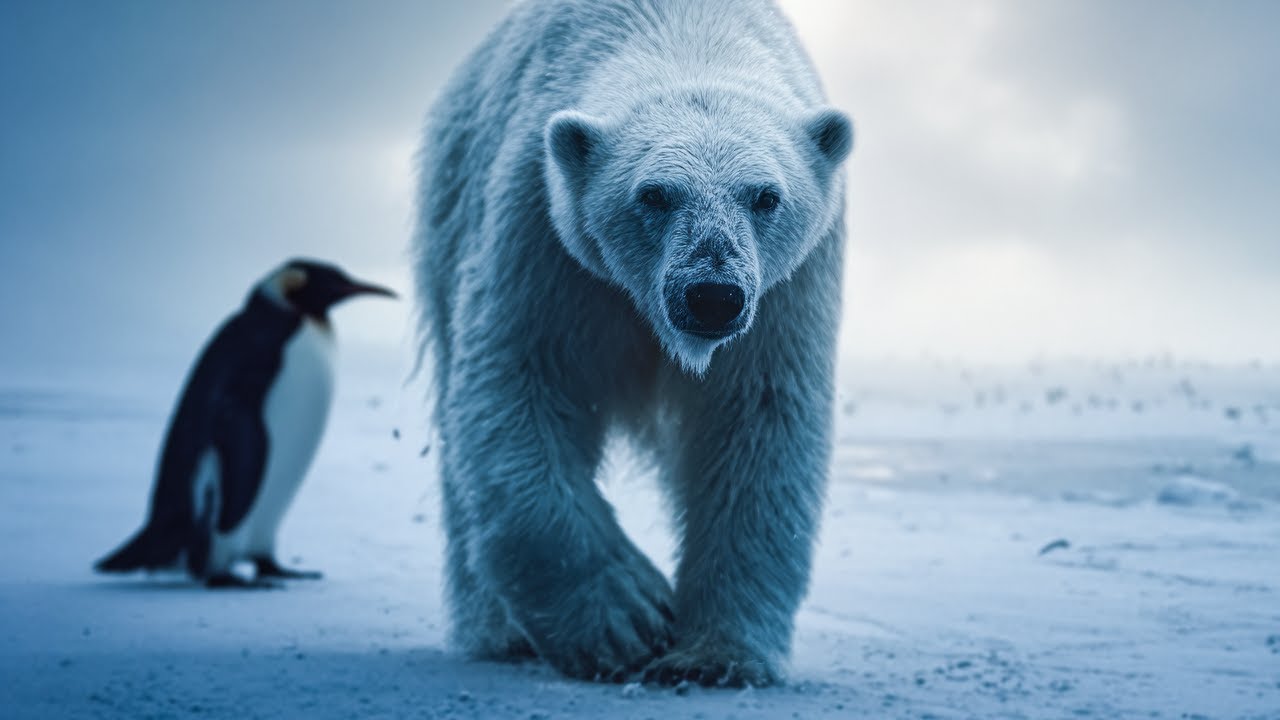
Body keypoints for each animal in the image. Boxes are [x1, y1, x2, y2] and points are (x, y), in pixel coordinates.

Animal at [414, 0, 852, 687]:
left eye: (765, 196)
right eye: (654, 193)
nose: (712, 294)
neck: (686, 31)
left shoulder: (790, 286)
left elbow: (758, 419)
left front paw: (715, 657)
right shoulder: (541, 227)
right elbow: (518, 383)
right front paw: (628, 619)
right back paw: (500, 633)